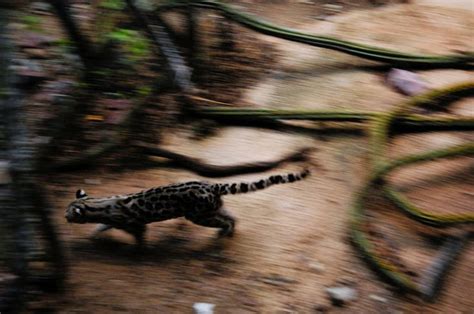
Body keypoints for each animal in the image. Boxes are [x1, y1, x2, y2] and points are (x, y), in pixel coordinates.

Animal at [65, 169, 312, 245]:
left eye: (68, 212)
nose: (64, 217)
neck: (95, 204)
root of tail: (212, 185)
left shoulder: (135, 224)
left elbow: (139, 238)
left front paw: (140, 249)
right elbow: (101, 227)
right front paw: (94, 235)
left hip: (199, 216)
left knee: (226, 220)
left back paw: (223, 233)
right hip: (212, 209)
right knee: (233, 216)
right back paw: (229, 232)